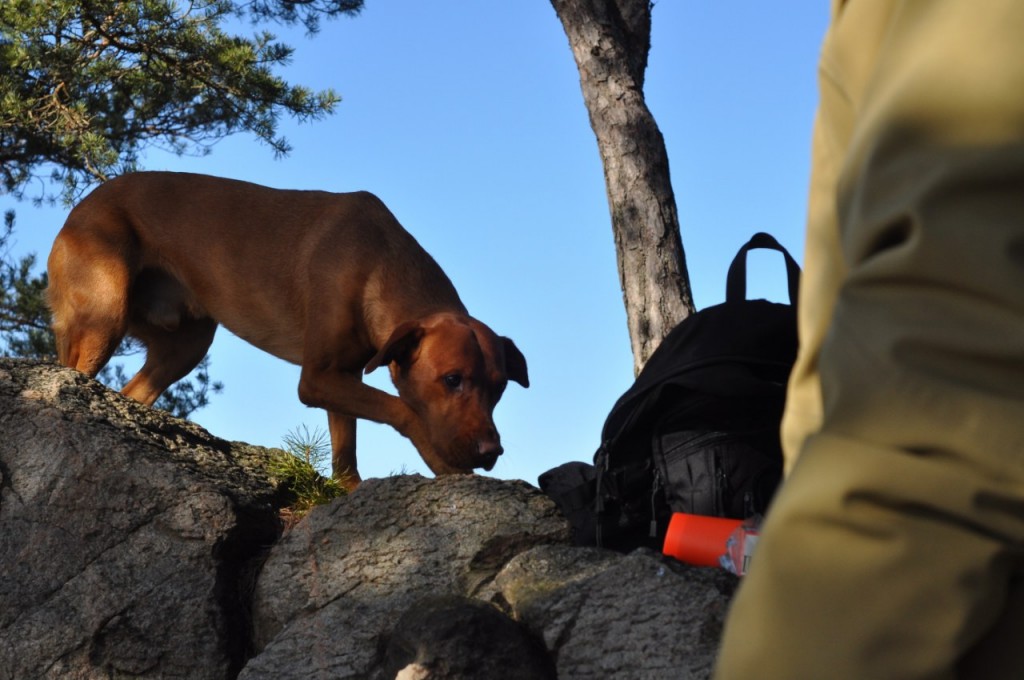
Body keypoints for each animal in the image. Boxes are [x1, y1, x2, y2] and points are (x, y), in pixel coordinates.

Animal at [47, 171, 528, 489]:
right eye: (452, 380)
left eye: (500, 388)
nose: (492, 453)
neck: (378, 263)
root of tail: (78, 207)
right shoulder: (316, 378)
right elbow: (403, 409)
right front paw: (442, 461)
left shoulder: (341, 376)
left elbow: (346, 448)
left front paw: (348, 489)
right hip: (104, 316)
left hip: (186, 345)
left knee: (132, 393)